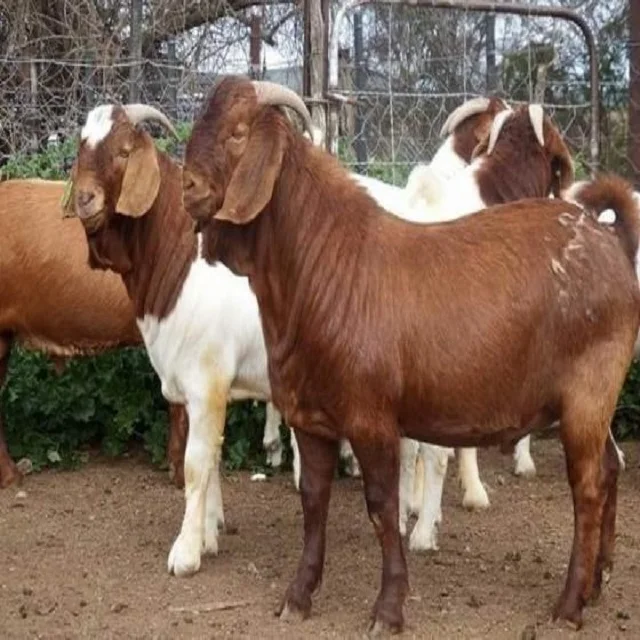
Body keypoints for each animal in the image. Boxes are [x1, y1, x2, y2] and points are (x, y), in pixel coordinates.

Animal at [182, 76, 640, 633]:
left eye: (238, 133)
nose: (186, 186)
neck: (326, 266)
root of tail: (609, 241)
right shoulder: (310, 419)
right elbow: (313, 502)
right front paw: (299, 595)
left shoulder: (373, 418)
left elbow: (383, 508)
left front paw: (389, 608)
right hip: (597, 404)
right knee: (610, 467)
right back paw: (597, 583)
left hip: (588, 395)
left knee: (589, 486)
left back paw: (570, 604)